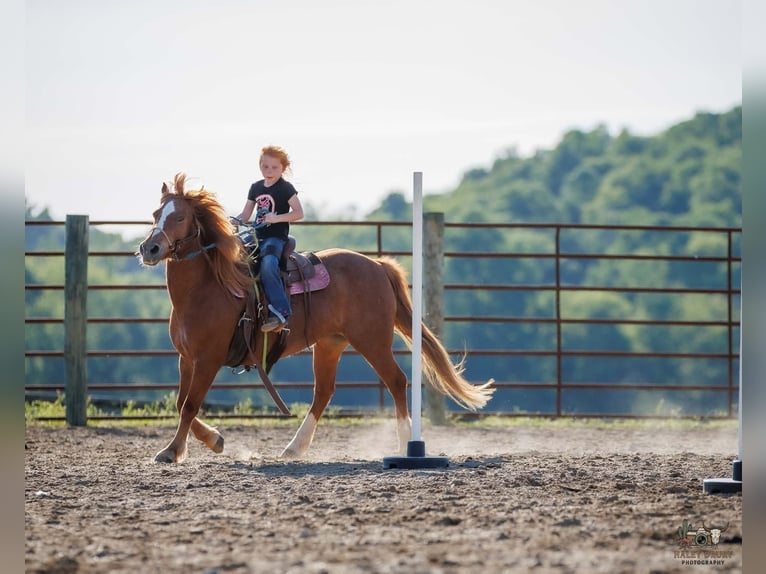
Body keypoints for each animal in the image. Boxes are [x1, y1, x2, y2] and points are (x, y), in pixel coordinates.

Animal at [138, 173, 495, 463]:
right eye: (156, 214)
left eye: (180, 216)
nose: (149, 249)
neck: (208, 288)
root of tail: (377, 266)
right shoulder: (187, 358)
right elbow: (181, 403)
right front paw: (214, 440)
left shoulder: (208, 359)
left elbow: (189, 404)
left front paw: (171, 451)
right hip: (330, 344)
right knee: (323, 392)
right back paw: (295, 447)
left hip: (372, 341)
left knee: (395, 380)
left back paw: (405, 443)